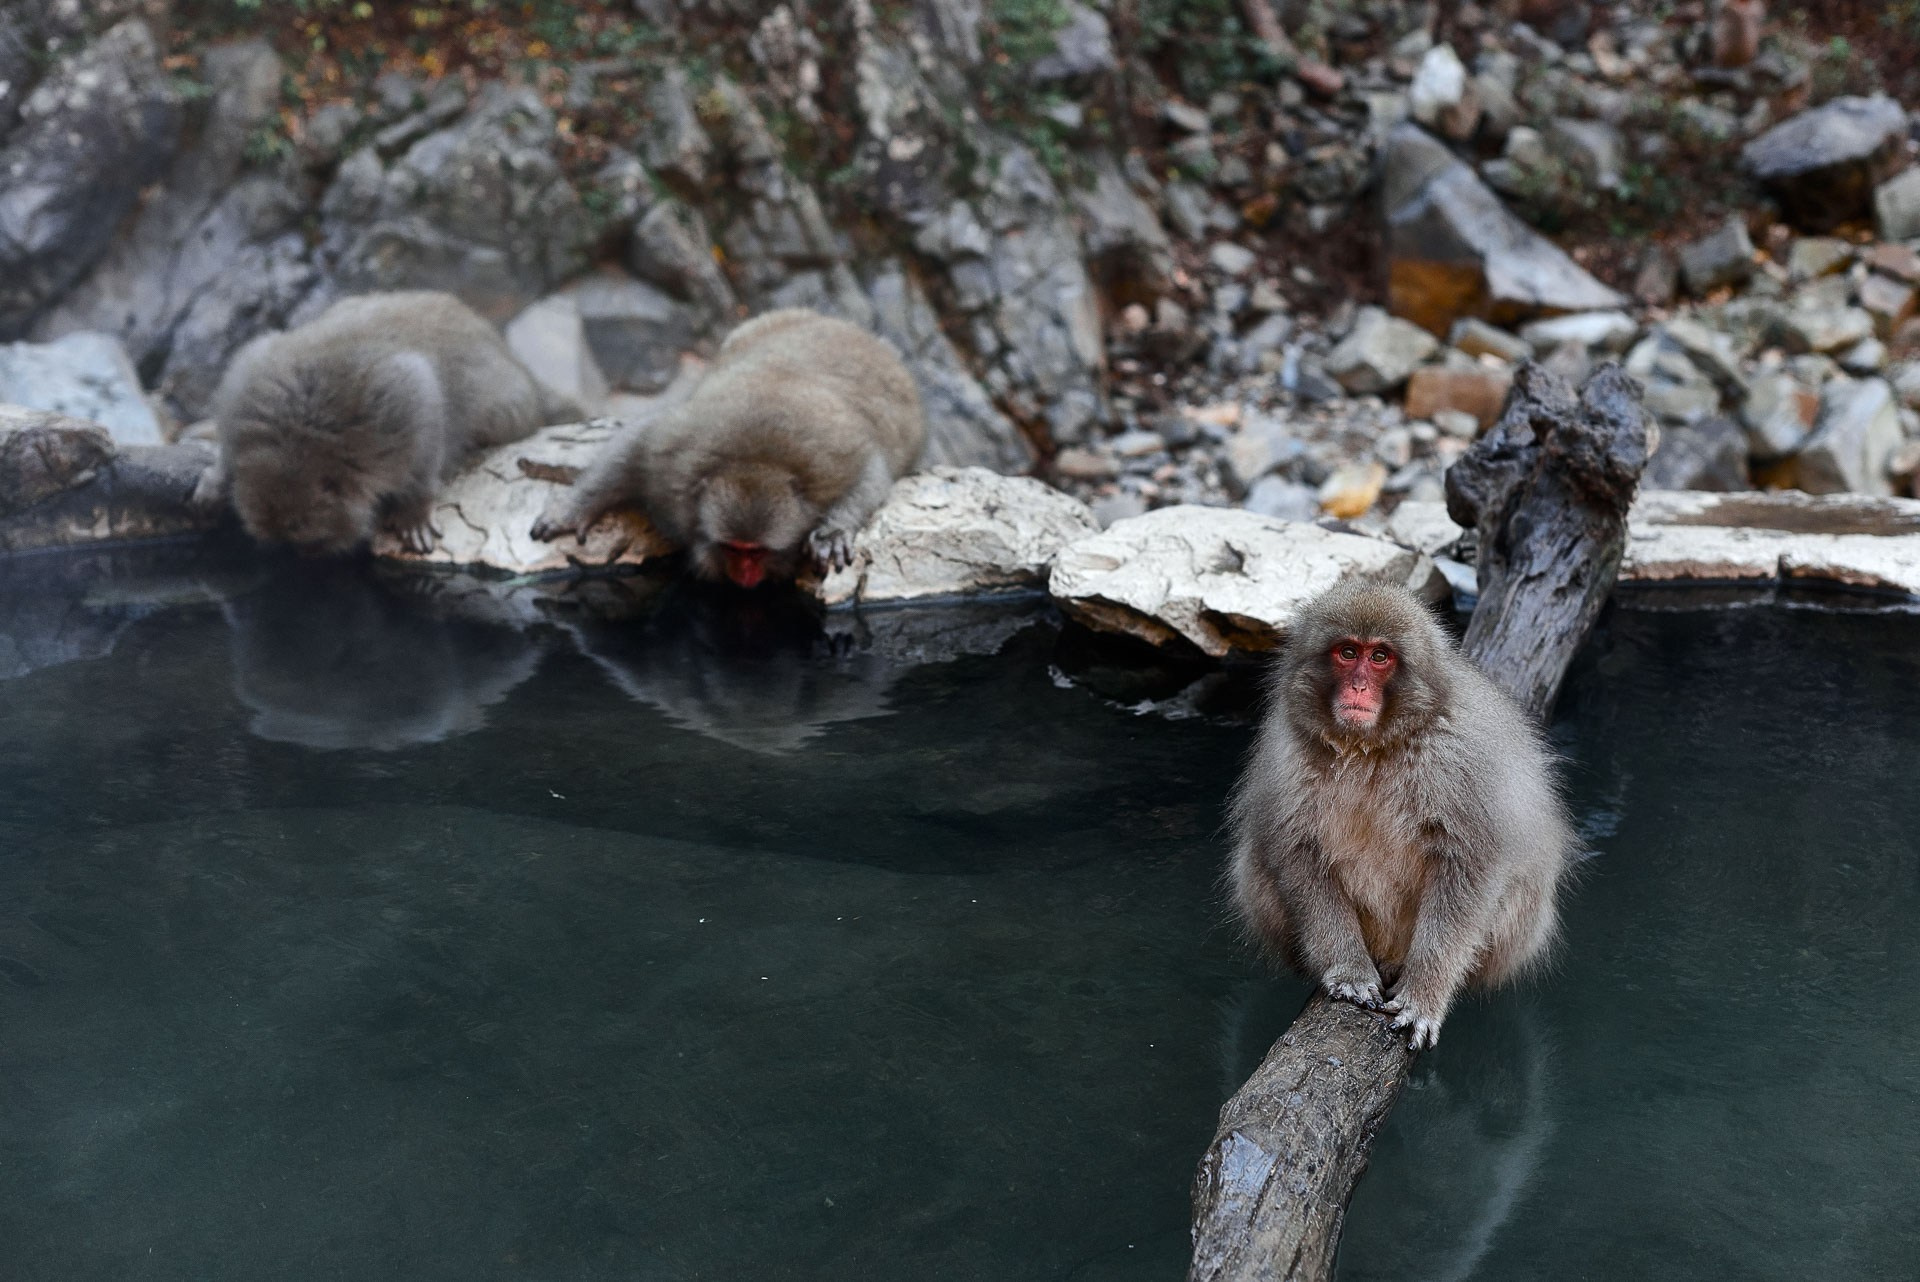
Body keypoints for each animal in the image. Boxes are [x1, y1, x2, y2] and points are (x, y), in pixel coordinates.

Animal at [191, 291, 575, 555]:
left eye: (303, 534)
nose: (297, 556)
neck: (298, 438)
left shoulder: (396, 412)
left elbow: (425, 413)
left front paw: (414, 509)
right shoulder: (245, 387)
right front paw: (218, 478)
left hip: (510, 408)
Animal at [531, 308, 925, 588]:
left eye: (757, 551)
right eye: (734, 548)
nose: (745, 575)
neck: (753, 461)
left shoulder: (831, 461)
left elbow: (872, 472)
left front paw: (833, 532)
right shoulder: (670, 457)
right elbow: (636, 444)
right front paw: (572, 509)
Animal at [1228, 579, 1576, 1050]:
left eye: (1380, 657)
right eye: (1347, 652)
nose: (1358, 687)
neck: (1371, 746)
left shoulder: (1456, 756)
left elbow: (1471, 864)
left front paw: (1424, 996)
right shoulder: (1288, 754)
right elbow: (1295, 853)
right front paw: (1350, 971)